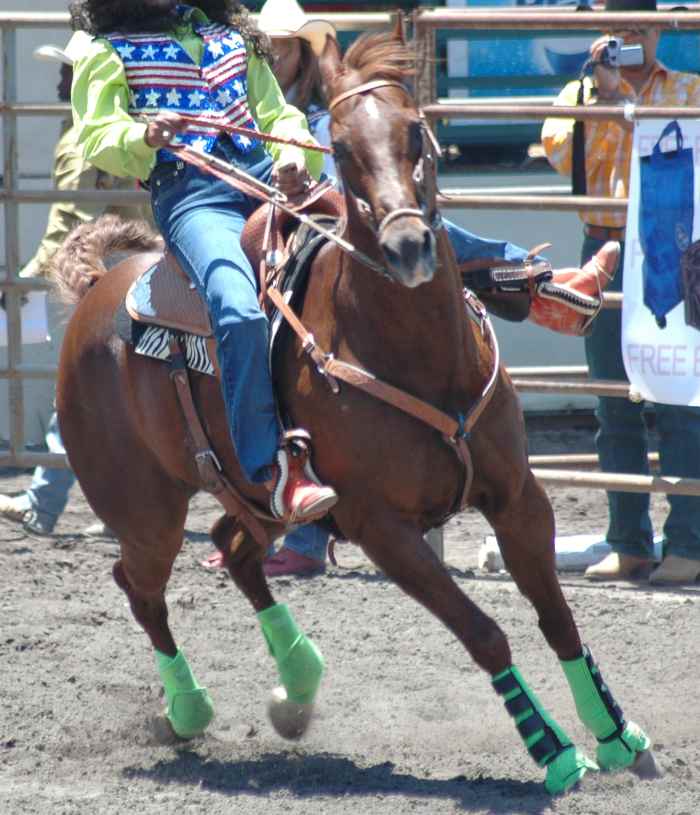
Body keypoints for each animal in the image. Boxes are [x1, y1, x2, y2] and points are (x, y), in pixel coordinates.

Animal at [52, 28, 656, 794]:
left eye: (416, 130)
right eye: (338, 147)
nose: (407, 246)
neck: (422, 358)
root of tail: (97, 292)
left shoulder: (518, 495)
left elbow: (557, 616)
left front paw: (618, 735)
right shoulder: (382, 527)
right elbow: (484, 632)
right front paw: (552, 750)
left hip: (257, 497)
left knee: (235, 551)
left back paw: (297, 688)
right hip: (144, 511)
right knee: (140, 587)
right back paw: (188, 710)